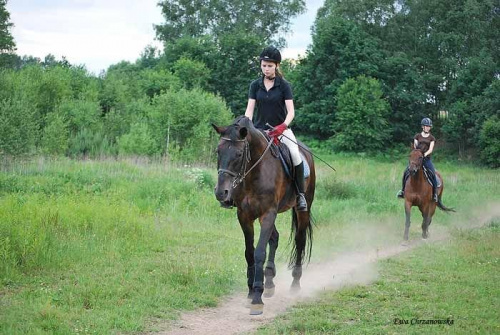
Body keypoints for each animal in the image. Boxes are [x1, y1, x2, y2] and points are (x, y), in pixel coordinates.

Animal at [212, 117, 316, 316]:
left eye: (239, 154)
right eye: (218, 151)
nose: (221, 193)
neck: (254, 173)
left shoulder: (268, 213)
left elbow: (260, 251)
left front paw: (257, 298)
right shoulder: (244, 215)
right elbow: (249, 253)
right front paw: (251, 291)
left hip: (302, 209)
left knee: (299, 241)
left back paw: (295, 284)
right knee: (274, 238)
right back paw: (269, 282)